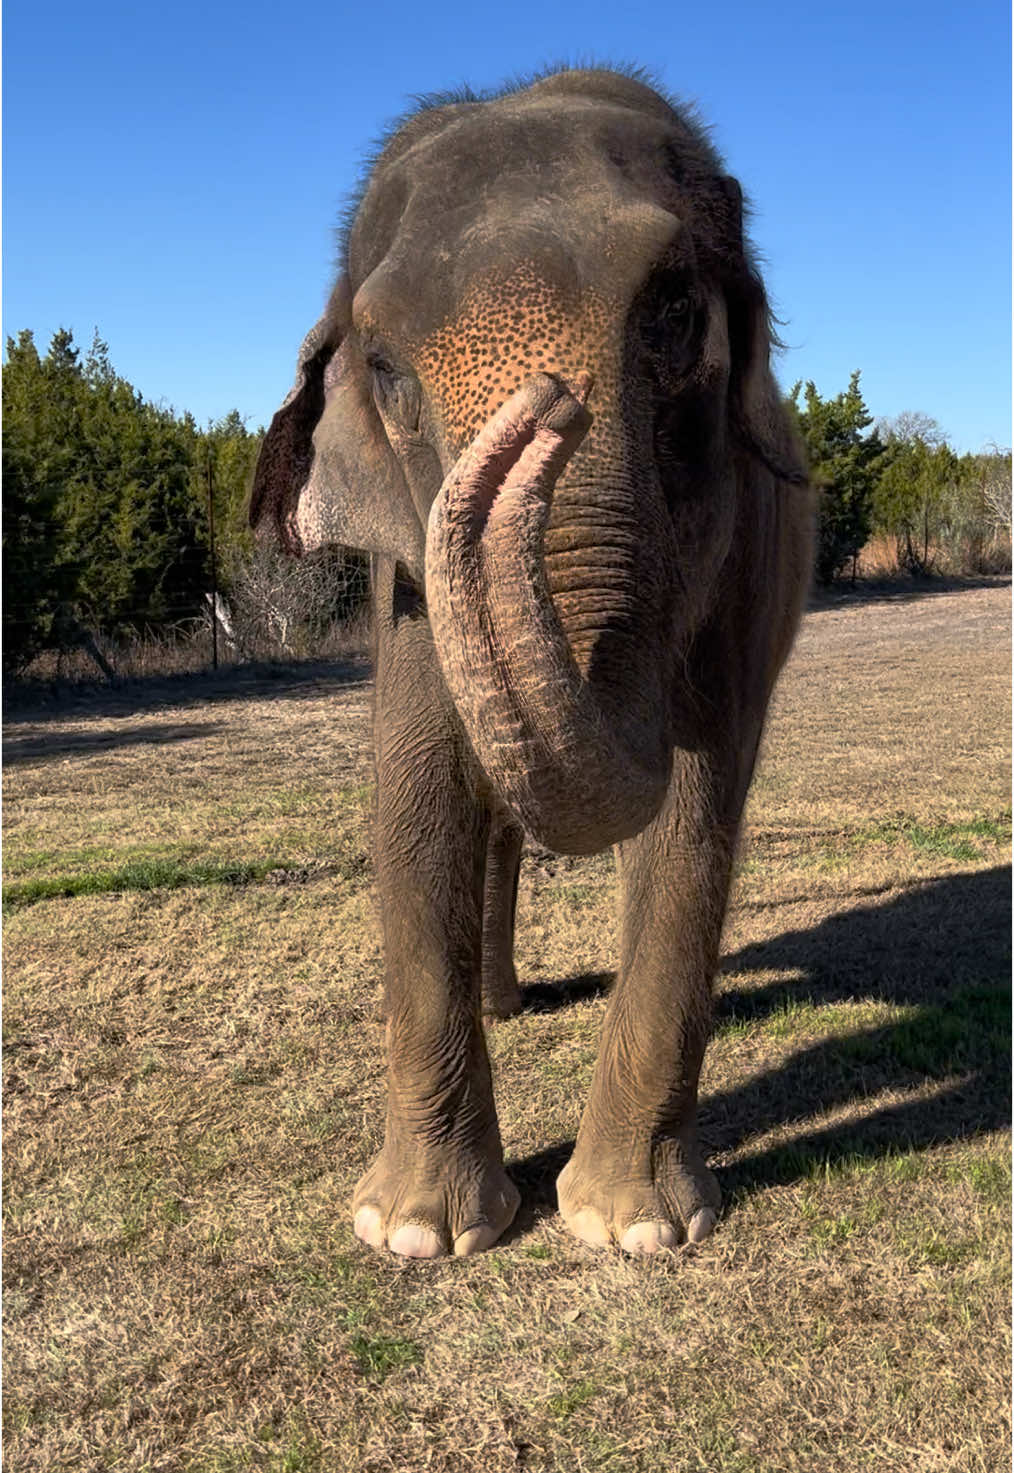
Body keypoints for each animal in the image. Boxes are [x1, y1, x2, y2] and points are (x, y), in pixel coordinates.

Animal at [250, 66, 812, 1259]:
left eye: (674, 312)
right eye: (384, 369)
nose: (546, 404)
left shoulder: (744, 560)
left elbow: (695, 813)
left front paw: (632, 1228)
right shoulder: (408, 577)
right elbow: (417, 791)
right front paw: (416, 1233)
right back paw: (503, 1006)